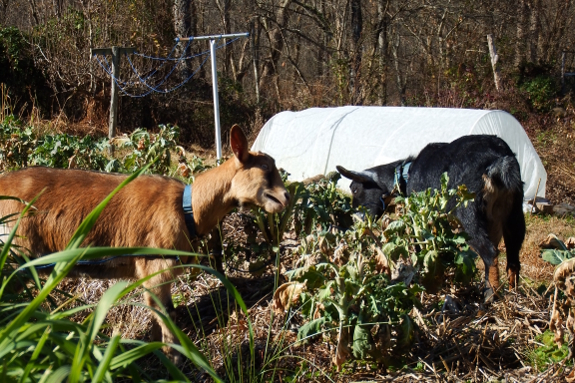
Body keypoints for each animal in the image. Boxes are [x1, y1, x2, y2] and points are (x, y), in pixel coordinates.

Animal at [0, 124, 288, 362]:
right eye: (265, 169)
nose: (286, 196)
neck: (188, 209)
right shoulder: (156, 266)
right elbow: (167, 314)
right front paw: (176, 359)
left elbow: (157, 313)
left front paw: (152, 350)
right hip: (15, 256)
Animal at [338, 136, 528, 300]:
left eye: (355, 189)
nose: (354, 221)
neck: (406, 175)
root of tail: (499, 160)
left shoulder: (420, 217)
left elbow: (419, 247)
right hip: (513, 214)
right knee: (513, 257)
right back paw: (513, 292)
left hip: (468, 214)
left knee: (490, 252)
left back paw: (490, 296)